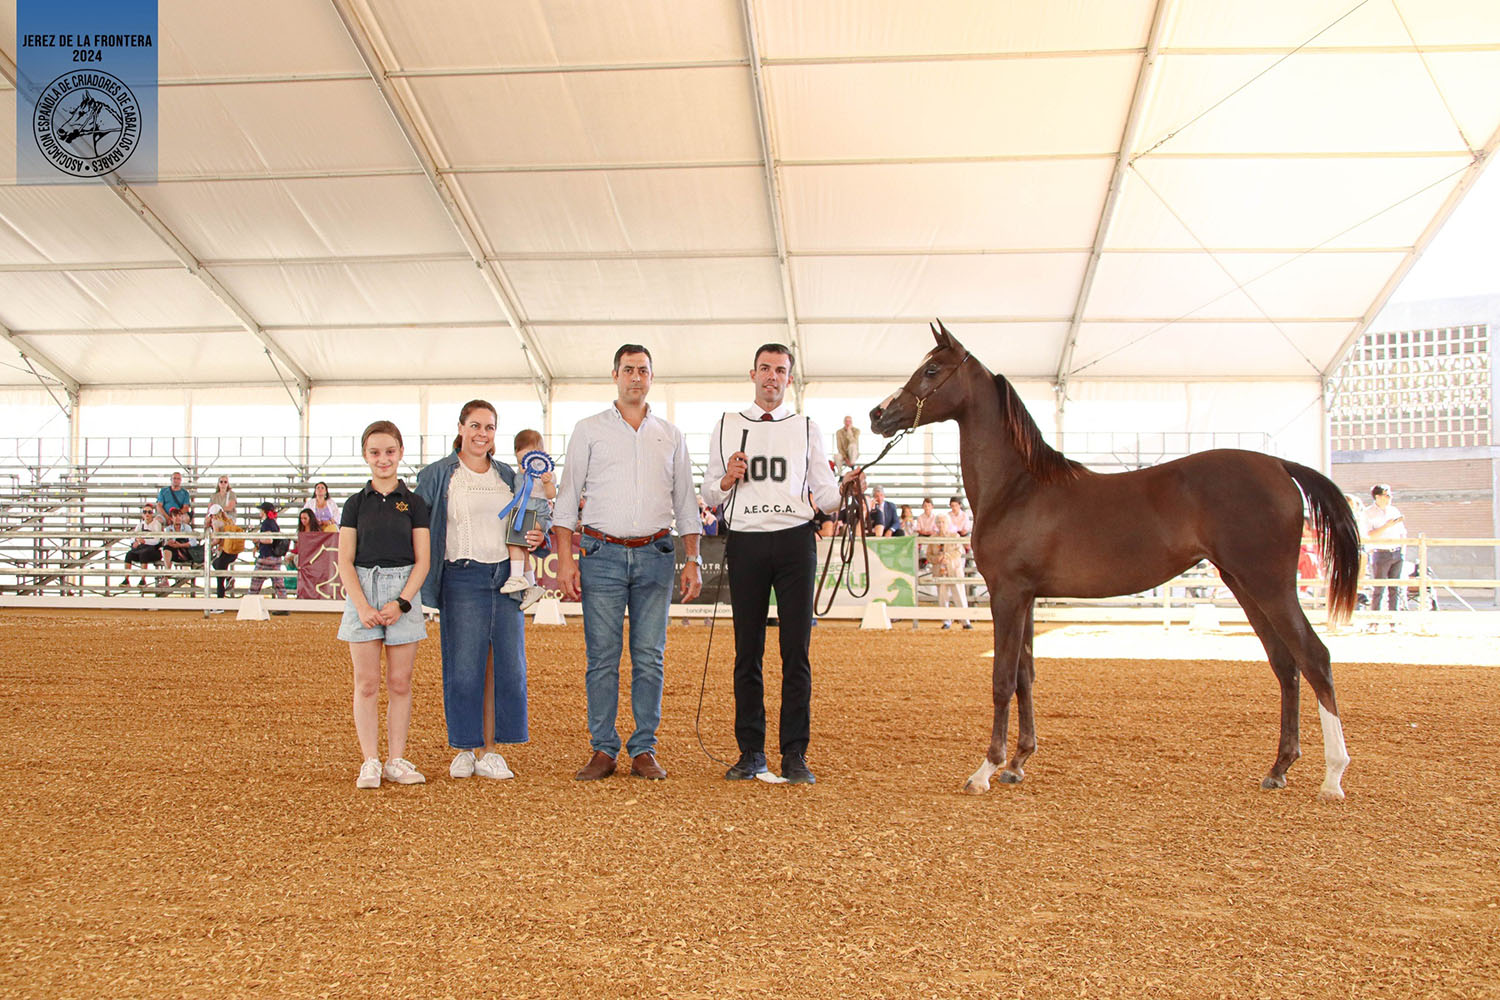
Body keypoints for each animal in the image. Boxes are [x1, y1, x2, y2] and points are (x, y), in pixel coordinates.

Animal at [869, 321, 1358, 801]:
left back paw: (1333, 777)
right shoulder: (1027, 597)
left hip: (1269, 585)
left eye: (932, 370)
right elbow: (1026, 674)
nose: (877, 414)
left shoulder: (1007, 594)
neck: (1016, 488)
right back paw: (1279, 768)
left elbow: (1002, 679)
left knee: (1315, 658)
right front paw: (1018, 762)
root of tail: (1279, 465)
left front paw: (986, 769)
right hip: (1243, 584)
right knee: (1286, 664)